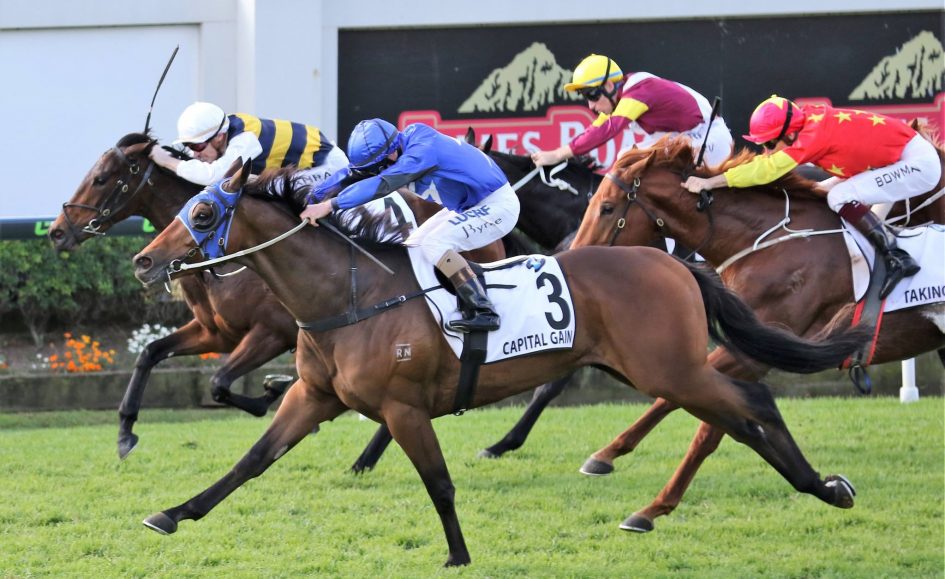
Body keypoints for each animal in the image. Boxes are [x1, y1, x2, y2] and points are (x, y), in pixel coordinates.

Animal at [47, 133, 504, 459]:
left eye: (101, 178)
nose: (56, 231)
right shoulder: (217, 332)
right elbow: (151, 353)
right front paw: (125, 432)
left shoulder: (271, 331)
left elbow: (218, 382)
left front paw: (273, 391)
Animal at [130, 158, 873, 566]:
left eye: (202, 212)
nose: (142, 260)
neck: (349, 293)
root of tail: (674, 262)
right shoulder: (315, 396)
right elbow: (251, 460)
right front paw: (172, 512)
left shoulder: (402, 407)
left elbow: (438, 483)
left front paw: (458, 554)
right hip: (654, 368)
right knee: (752, 405)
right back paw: (810, 486)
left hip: (671, 370)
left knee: (744, 411)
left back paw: (818, 487)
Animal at [569, 135, 945, 533]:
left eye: (607, 208)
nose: (575, 261)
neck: (769, 244)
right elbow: (683, 405)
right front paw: (610, 459)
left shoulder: (757, 350)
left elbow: (699, 421)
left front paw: (648, 503)